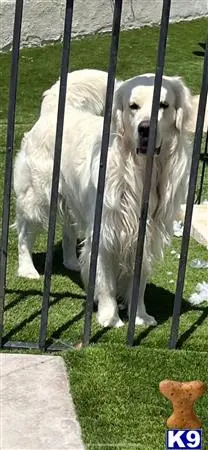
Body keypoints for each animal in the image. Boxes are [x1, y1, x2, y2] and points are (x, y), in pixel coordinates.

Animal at [13, 72, 192, 328]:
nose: (145, 129)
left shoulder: (146, 234)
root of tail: (53, 110)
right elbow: (106, 282)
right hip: (37, 196)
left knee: (69, 230)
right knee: (24, 233)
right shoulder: (106, 230)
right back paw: (27, 269)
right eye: (133, 106)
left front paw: (140, 316)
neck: (139, 172)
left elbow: (138, 284)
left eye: (163, 105)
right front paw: (110, 318)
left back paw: (72, 262)